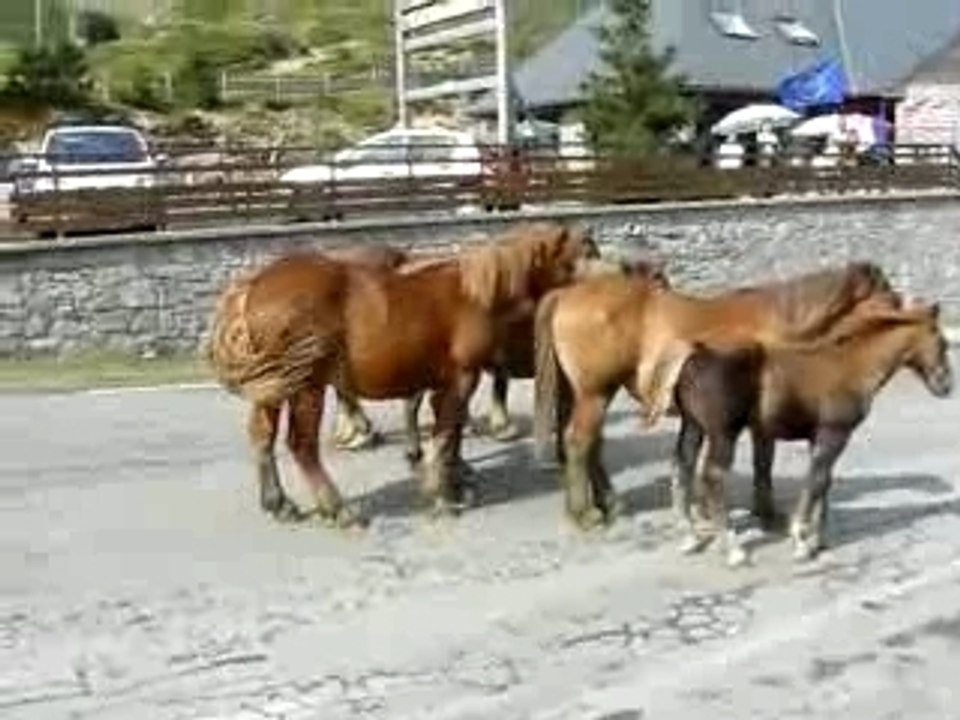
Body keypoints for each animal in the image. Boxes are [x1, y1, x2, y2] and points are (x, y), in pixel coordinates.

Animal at [204, 220, 598, 527]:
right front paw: (442, 495)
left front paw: (455, 483)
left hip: (273, 387)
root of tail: (252, 286)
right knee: (301, 445)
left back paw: (280, 503)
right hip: (306, 386)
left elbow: (448, 433)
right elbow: (445, 436)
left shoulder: (445, 382)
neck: (475, 294)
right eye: (584, 253)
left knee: (262, 437)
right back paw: (338, 508)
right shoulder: (462, 378)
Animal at [532, 262, 903, 531]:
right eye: (887, 294)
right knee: (579, 443)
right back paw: (585, 514)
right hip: (595, 393)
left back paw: (608, 503)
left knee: (590, 444)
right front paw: (766, 514)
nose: (906, 312)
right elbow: (763, 461)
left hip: (584, 394)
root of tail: (566, 294)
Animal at [671, 301, 953, 567]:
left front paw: (818, 541)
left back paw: (691, 538)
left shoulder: (818, 438)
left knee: (683, 466)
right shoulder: (834, 434)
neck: (851, 366)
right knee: (713, 476)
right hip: (724, 433)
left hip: (693, 425)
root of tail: (696, 357)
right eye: (942, 342)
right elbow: (816, 481)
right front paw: (801, 540)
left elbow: (824, 482)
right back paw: (734, 551)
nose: (946, 386)